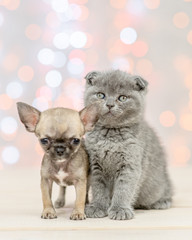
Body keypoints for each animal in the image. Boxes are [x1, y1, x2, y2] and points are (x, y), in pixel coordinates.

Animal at [83, 69, 173, 219]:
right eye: (101, 95)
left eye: (122, 98)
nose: (109, 104)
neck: (111, 134)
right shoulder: (95, 165)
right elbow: (99, 188)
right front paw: (97, 207)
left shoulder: (130, 163)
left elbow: (124, 188)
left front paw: (120, 209)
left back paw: (162, 201)